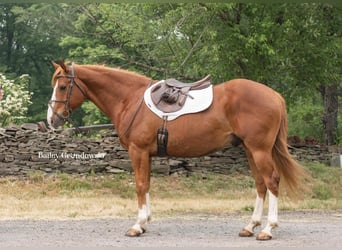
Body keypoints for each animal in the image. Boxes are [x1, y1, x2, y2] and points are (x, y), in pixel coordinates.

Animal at [46, 60, 306, 240]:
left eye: (63, 86)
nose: (51, 119)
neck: (129, 100)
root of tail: (274, 95)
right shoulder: (146, 154)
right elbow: (147, 184)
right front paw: (145, 222)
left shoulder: (138, 151)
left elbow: (140, 185)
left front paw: (137, 225)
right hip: (250, 150)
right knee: (260, 184)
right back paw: (250, 226)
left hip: (259, 150)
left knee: (272, 181)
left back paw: (268, 229)